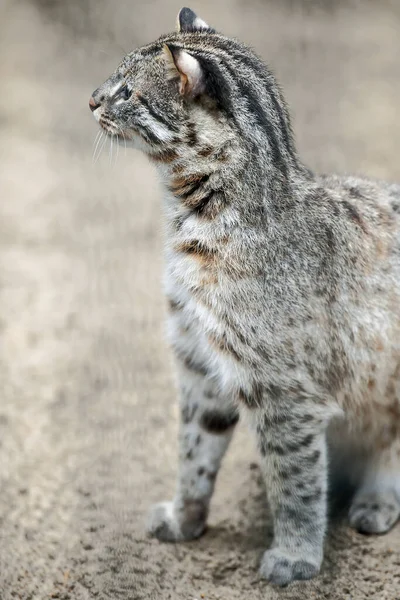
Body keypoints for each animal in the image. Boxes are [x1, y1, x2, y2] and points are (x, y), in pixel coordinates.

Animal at [90, 5, 400, 584]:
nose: (92, 100)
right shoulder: (198, 362)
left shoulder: (284, 391)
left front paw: (296, 555)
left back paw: (377, 499)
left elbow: (295, 480)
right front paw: (185, 517)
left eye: (127, 91)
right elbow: (193, 451)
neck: (193, 218)